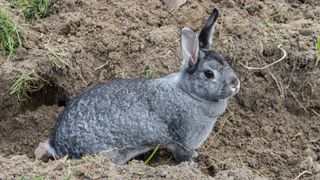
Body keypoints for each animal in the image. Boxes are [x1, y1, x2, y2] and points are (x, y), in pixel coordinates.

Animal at [44, 7, 240, 168]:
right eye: (208, 74)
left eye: (225, 60)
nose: (235, 84)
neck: (188, 93)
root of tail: (58, 145)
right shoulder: (181, 141)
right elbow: (182, 156)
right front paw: (193, 166)